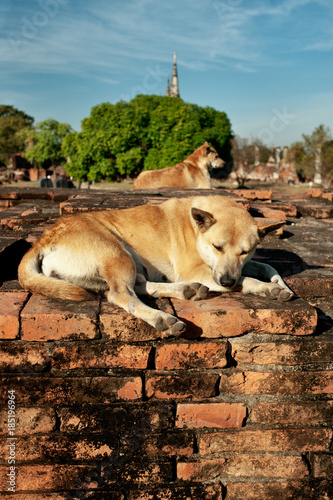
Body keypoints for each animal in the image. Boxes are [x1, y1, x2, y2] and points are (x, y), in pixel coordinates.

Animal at [18, 194, 294, 336]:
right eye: (217, 247)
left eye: (244, 251)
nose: (226, 281)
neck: (196, 227)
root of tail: (44, 237)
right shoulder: (199, 270)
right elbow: (247, 279)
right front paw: (266, 288)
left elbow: (266, 267)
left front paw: (280, 284)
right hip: (119, 254)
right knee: (120, 294)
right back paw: (163, 318)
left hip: (126, 264)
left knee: (138, 286)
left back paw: (187, 290)